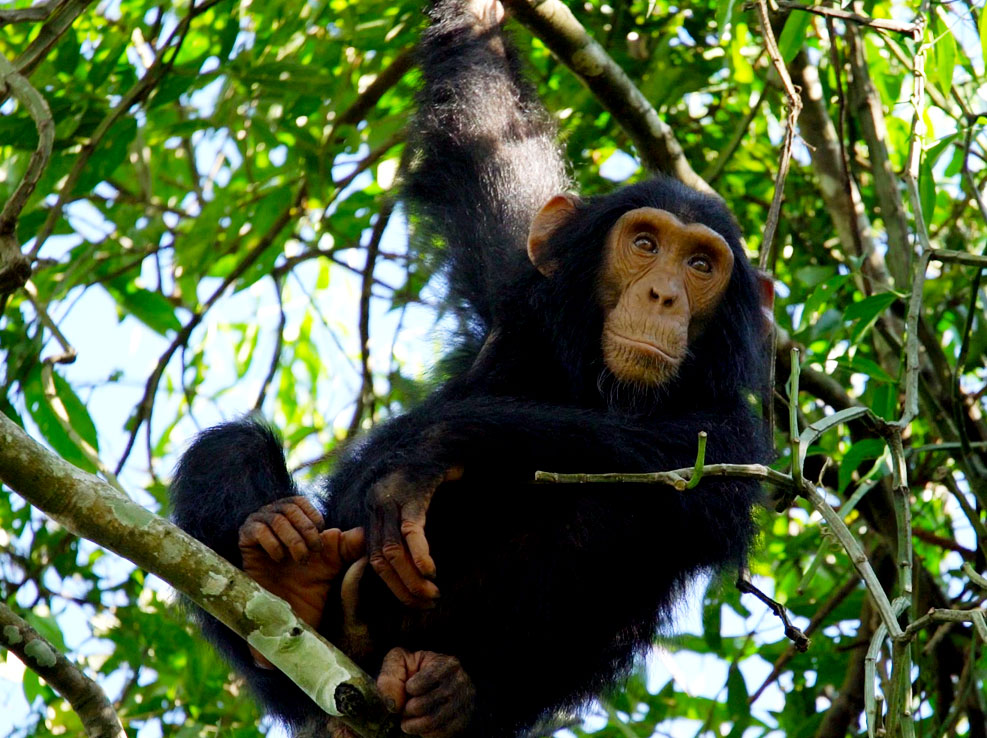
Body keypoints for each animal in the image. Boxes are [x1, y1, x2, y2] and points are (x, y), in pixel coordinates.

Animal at [172, 0, 772, 732]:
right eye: (645, 244)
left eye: (700, 264)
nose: (663, 294)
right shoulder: (517, 277)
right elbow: (485, 132)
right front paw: (479, 19)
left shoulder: (740, 431)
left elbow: (690, 470)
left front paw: (430, 452)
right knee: (230, 448)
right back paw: (287, 565)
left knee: (611, 506)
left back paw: (444, 692)